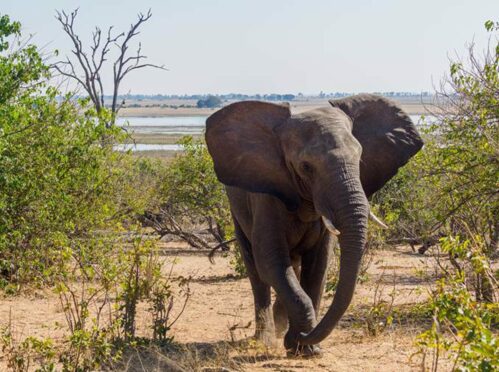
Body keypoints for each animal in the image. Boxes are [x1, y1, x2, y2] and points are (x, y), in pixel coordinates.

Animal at [205, 94, 424, 356]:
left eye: (360, 158)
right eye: (306, 166)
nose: (304, 336)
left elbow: (319, 265)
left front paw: (305, 348)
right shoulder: (265, 196)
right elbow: (271, 262)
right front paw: (300, 345)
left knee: (294, 265)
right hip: (237, 208)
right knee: (255, 269)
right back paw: (265, 339)